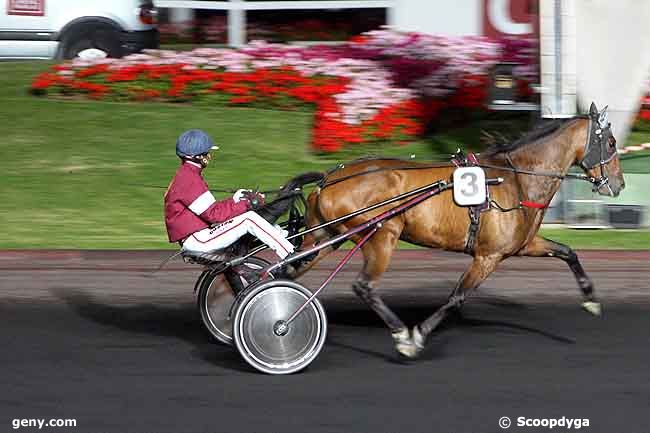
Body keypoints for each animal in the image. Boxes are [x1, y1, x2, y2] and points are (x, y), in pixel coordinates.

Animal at [294, 104, 624, 358]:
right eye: (610, 143)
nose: (619, 184)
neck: (515, 180)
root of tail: (327, 179)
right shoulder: (488, 256)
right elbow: (456, 297)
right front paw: (416, 337)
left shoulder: (522, 245)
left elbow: (568, 252)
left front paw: (591, 299)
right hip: (381, 235)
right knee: (364, 286)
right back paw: (399, 332)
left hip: (324, 239)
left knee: (290, 271)